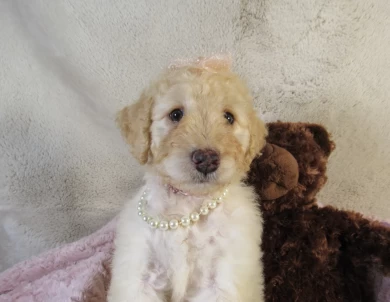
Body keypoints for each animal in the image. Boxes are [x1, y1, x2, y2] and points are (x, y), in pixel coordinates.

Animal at [108, 57, 270, 302]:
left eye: (229, 117)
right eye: (176, 114)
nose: (207, 160)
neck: (188, 204)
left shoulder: (222, 276)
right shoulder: (139, 269)